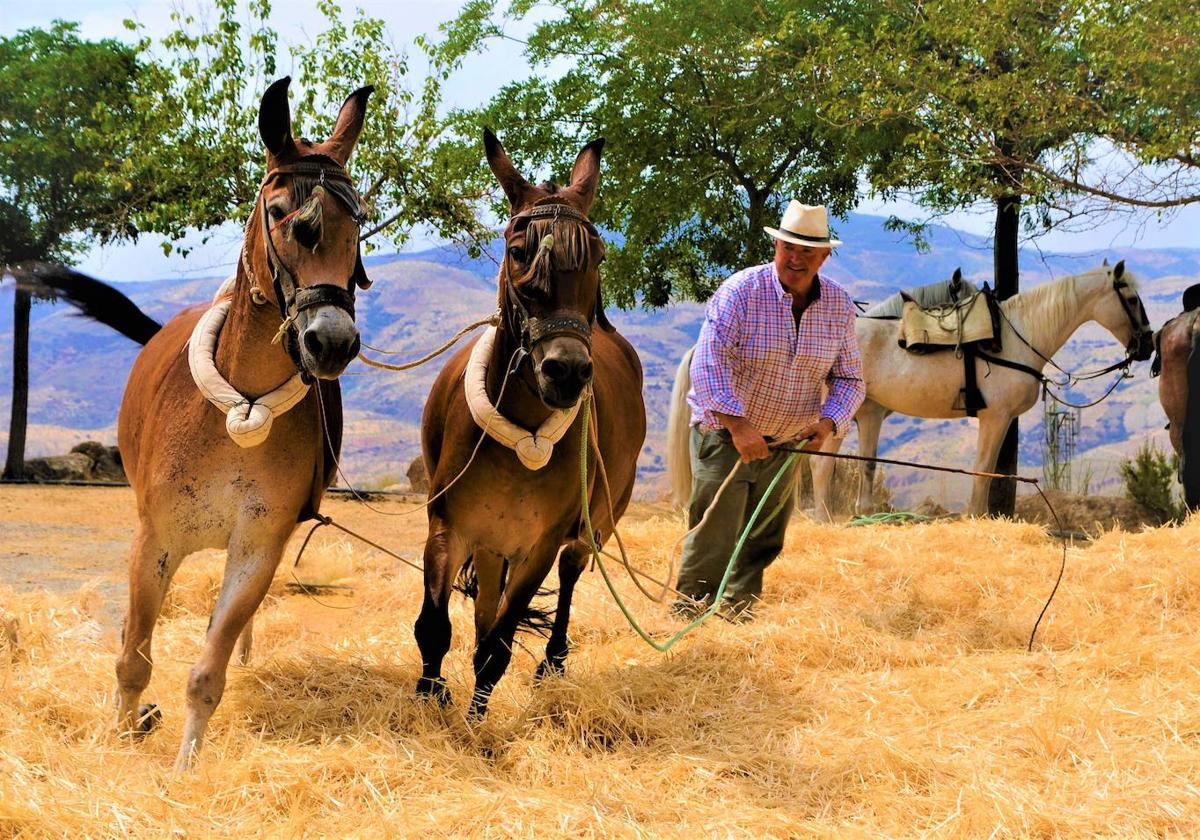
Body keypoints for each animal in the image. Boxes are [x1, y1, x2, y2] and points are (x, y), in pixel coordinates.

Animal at [672, 259, 1156, 518]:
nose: (1147, 345)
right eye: (1131, 299)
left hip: (862, 413)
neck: (1016, 335)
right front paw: (976, 517)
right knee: (822, 467)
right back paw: (825, 518)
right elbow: (983, 469)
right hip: (834, 419)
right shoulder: (994, 418)